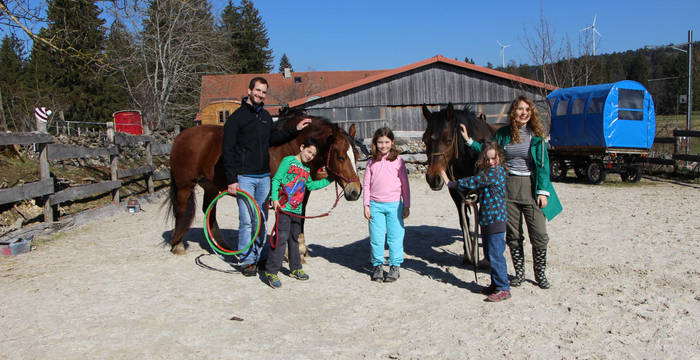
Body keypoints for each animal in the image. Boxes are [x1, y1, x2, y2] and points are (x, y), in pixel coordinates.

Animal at [165, 111, 360, 255]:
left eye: (357, 155)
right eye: (341, 157)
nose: (356, 191)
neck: (289, 149)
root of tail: (181, 136)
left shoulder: (303, 193)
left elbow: (300, 217)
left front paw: (300, 249)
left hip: (211, 187)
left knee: (209, 212)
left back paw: (221, 246)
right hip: (184, 186)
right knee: (181, 210)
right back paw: (178, 245)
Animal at [424, 102, 494, 266]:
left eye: (448, 140)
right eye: (425, 140)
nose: (433, 178)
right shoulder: (457, 196)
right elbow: (464, 222)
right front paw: (467, 254)